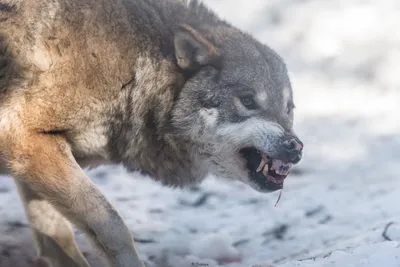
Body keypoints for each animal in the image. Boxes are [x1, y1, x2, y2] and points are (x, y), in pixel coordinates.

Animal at [0, 0, 304, 266]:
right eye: (249, 101)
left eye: (288, 108)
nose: (295, 145)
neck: (134, 66)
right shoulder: (26, 139)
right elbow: (112, 225)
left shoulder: (33, 161)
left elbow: (57, 240)